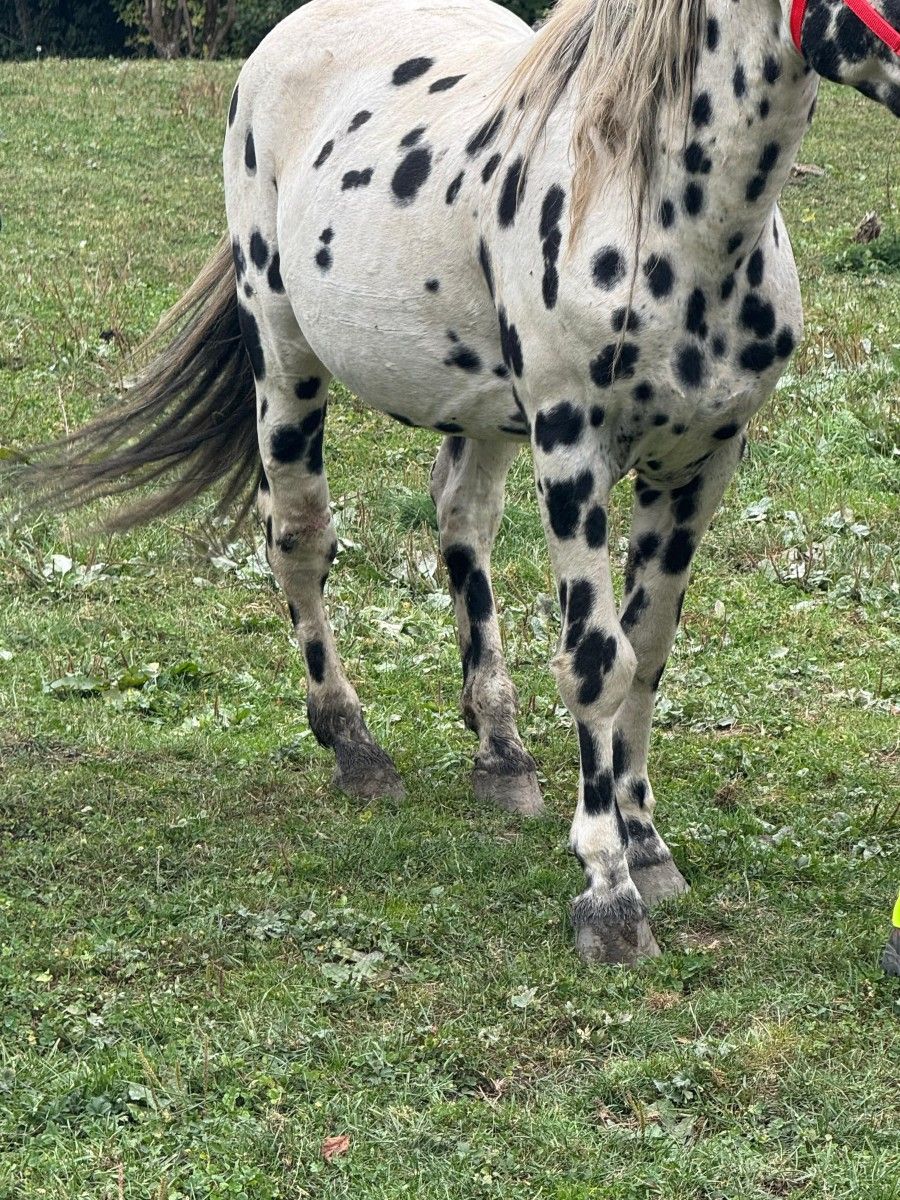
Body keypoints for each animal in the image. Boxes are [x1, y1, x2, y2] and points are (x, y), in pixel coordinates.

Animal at [14, 0, 900, 965]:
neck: (664, 216)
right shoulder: (572, 450)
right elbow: (597, 662)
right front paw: (609, 891)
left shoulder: (703, 463)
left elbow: (648, 651)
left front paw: (644, 843)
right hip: (283, 355)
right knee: (298, 541)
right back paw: (354, 744)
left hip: (482, 414)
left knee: (460, 522)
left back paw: (501, 749)